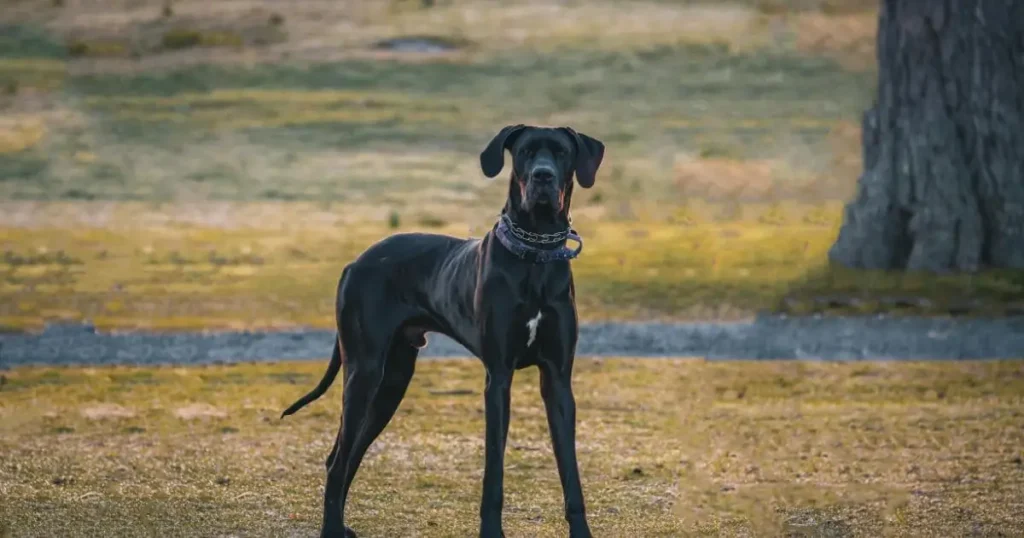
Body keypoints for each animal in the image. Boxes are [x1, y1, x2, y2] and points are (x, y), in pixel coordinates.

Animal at [276, 123, 602, 532]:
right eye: (526, 152)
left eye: (560, 152)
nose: (543, 176)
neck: (536, 254)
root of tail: (355, 262)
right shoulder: (499, 378)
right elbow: (494, 469)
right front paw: (491, 531)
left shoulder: (557, 380)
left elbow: (570, 470)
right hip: (364, 372)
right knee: (338, 459)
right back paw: (331, 529)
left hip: (392, 381)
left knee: (345, 454)